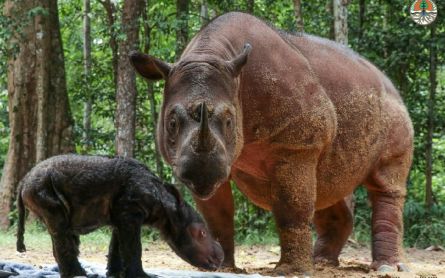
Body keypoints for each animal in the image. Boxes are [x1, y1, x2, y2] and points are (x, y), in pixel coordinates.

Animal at [16, 154, 222, 278]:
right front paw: (143, 276)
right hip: (41, 187)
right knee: (59, 227)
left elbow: (117, 246)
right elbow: (133, 247)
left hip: (40, 187)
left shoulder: (122, 214)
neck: (166, 208)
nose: (220, 258)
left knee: (60, 230)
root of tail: (23, 181)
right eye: (202, 234)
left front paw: (114, 274)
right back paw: (78, 274)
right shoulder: (130, 211)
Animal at [130, 11, 414, 274]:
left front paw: (291, 271)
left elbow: (292, 208)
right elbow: (217, 215)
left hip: (394, 112)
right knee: (326, 185)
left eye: (230, 122)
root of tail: (388, 82)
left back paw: (385, 268)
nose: (201, 174)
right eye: (171, 123)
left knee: (385, 184)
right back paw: (321, 263)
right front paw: (222, 268)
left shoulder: (297, 145)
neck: (212, 54)